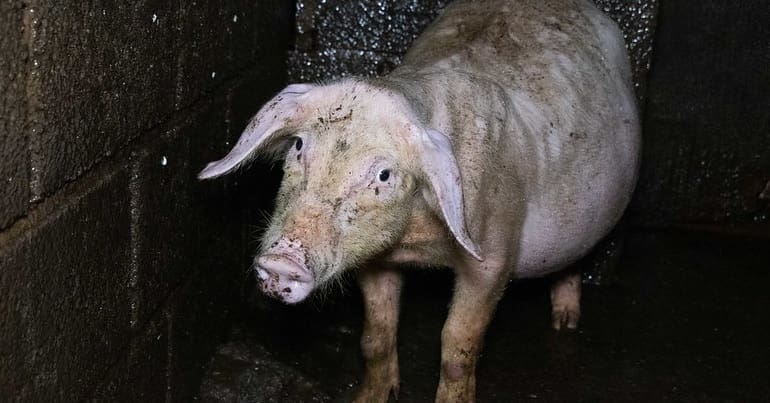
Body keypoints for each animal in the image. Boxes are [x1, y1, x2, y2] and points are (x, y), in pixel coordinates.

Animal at [198, 0, 636, 402]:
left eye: (384, 175)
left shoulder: (495, 254)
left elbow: (458, 348)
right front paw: (371, 397)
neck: (419, 242)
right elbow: (375, 337)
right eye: (299, 145)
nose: (281, 261)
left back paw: (565, 323)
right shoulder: (374, 257)